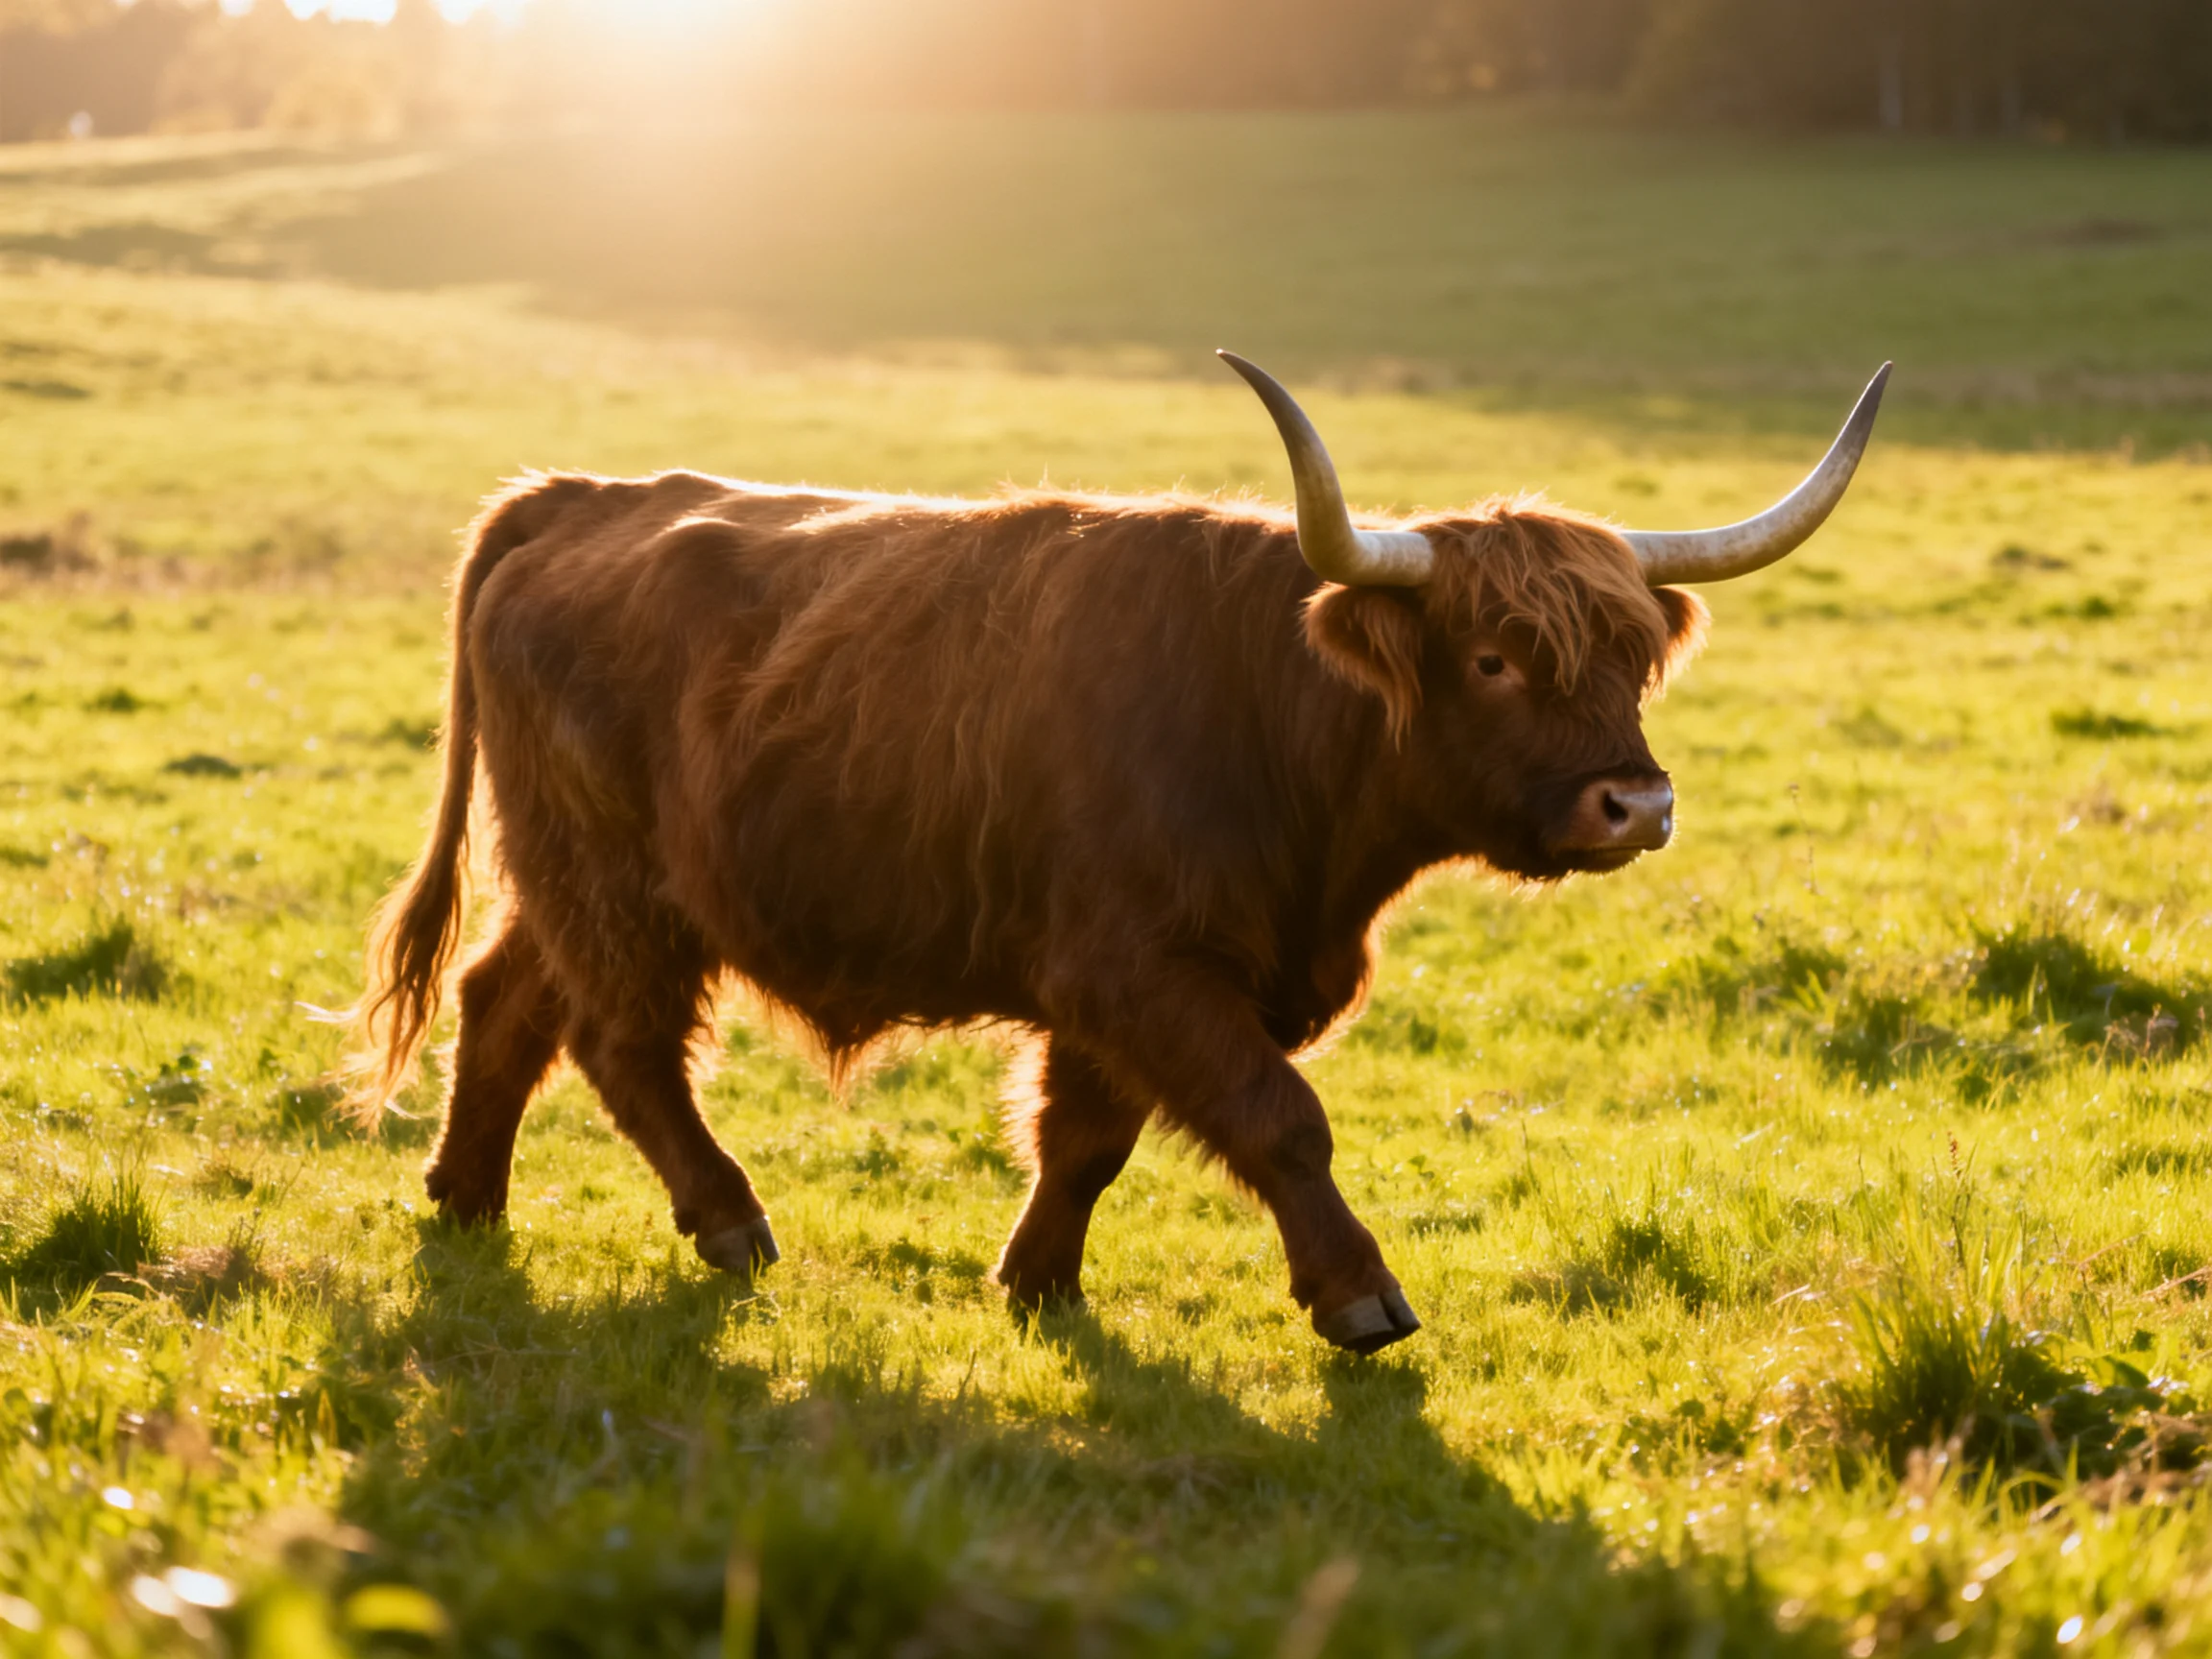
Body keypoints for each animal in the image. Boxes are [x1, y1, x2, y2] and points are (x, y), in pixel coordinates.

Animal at [354, 353, 1888, 1352]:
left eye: (1632, 656)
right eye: (1497, 658)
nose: (1635, 803)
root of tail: (575, 495)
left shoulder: (1119, 982)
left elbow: (1087, 1140)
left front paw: (1035, 1283)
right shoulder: (1137, 963)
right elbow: (1276, 1116)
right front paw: (1358, 1297)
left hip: (585, 879)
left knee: (507, 1002)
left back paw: (467, 1200)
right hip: (615, 880)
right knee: (619, 1041)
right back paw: (727, 1220)